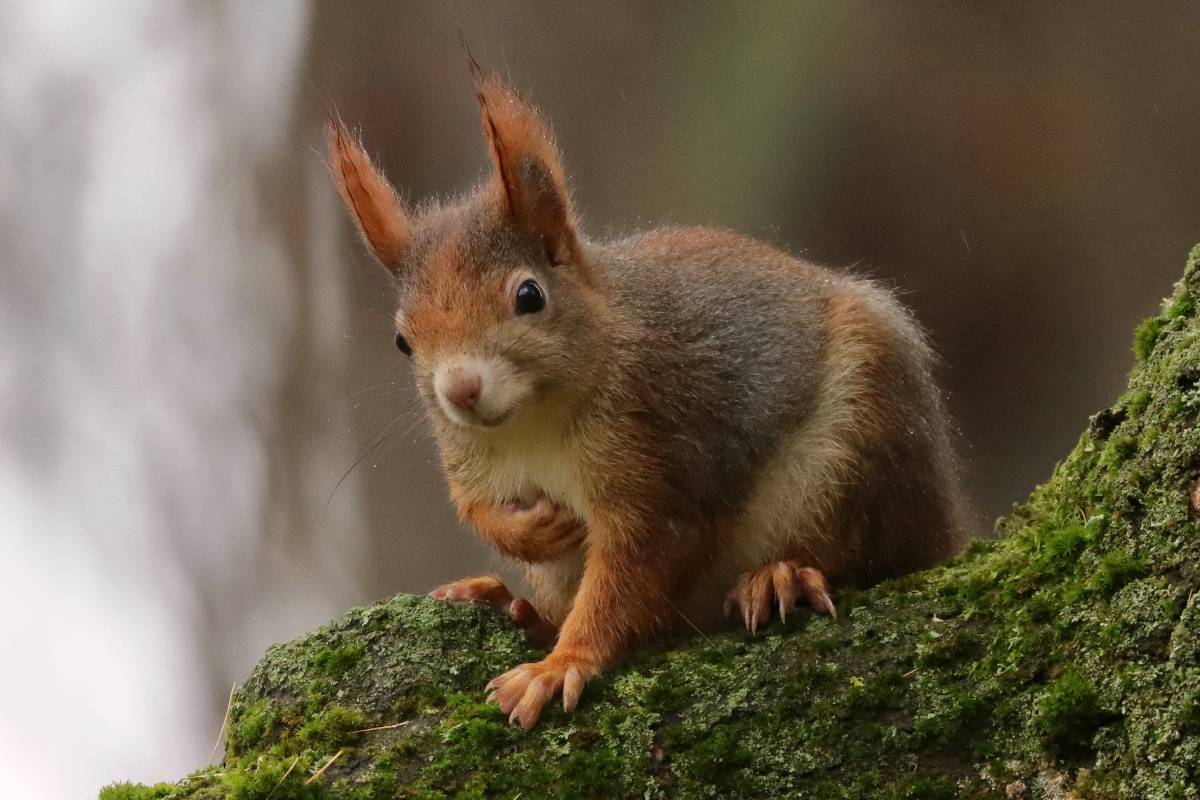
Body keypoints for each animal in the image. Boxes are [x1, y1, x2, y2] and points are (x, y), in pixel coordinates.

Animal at [327, 63, 970, 729]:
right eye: (402, 340)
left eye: (529, 295)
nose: (460, 389)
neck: (534, 425)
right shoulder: (470, 456)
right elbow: (477, 509)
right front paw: (535, 532)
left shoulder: (658, 459)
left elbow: (632, 571)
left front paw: (561, 665)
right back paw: (510, 606)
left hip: (864, 440)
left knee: (870, 556)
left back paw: (780, 576)